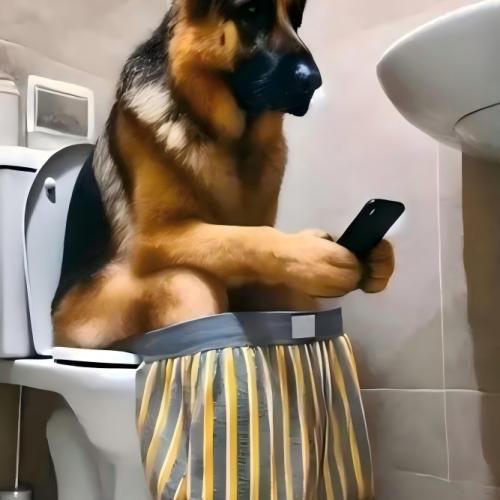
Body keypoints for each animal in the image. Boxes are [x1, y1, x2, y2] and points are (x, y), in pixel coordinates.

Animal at [52, 0, 395, 349]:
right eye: (252, 11)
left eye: (297, 19)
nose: (314, 81)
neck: (231, 140)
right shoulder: (155, 239)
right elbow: (251, 235)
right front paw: (305, 252)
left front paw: (379, 259)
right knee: (188, 282)